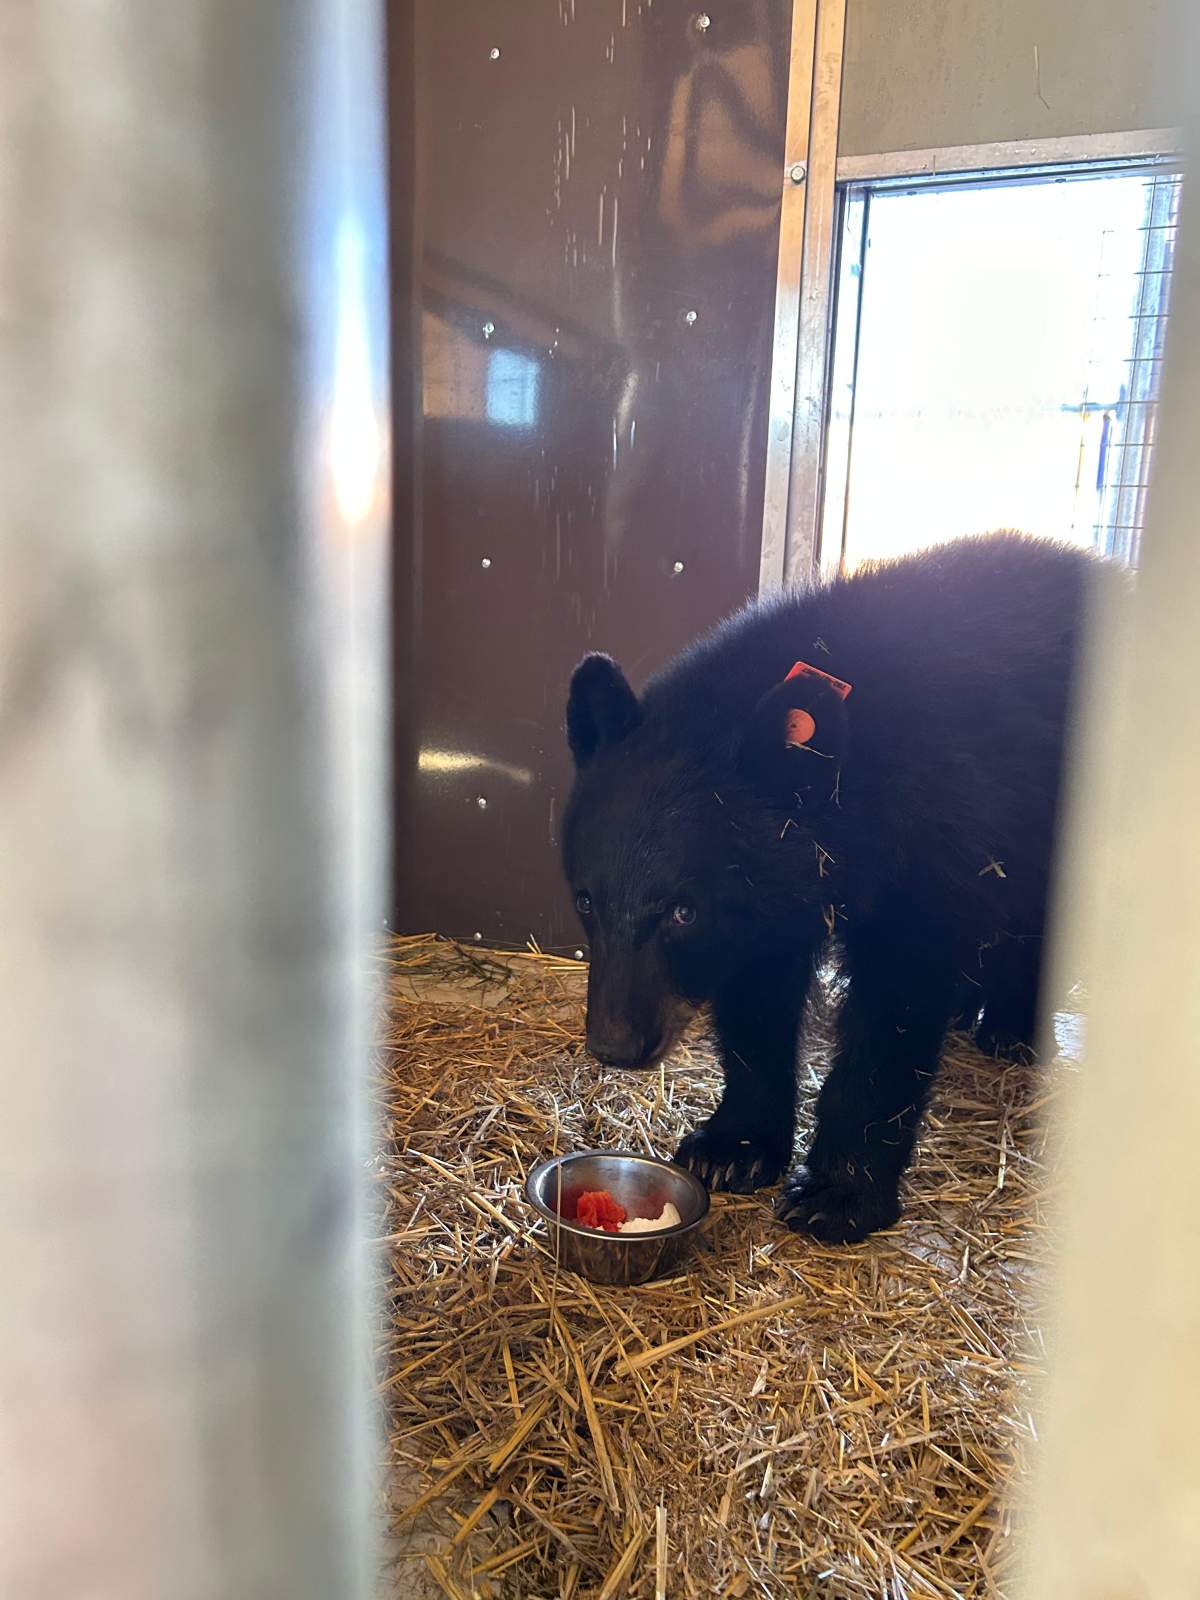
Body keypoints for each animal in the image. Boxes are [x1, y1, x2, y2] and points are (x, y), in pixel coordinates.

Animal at [560, 532, 1105, 1243]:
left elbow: (895, 1007)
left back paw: (1012, 1027)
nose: (616, 1045)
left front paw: (836, 1193)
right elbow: (758, 1000)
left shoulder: (934, 838)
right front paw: (731, 1148)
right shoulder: (768, 895)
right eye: (586, 899)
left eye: (682, 911)